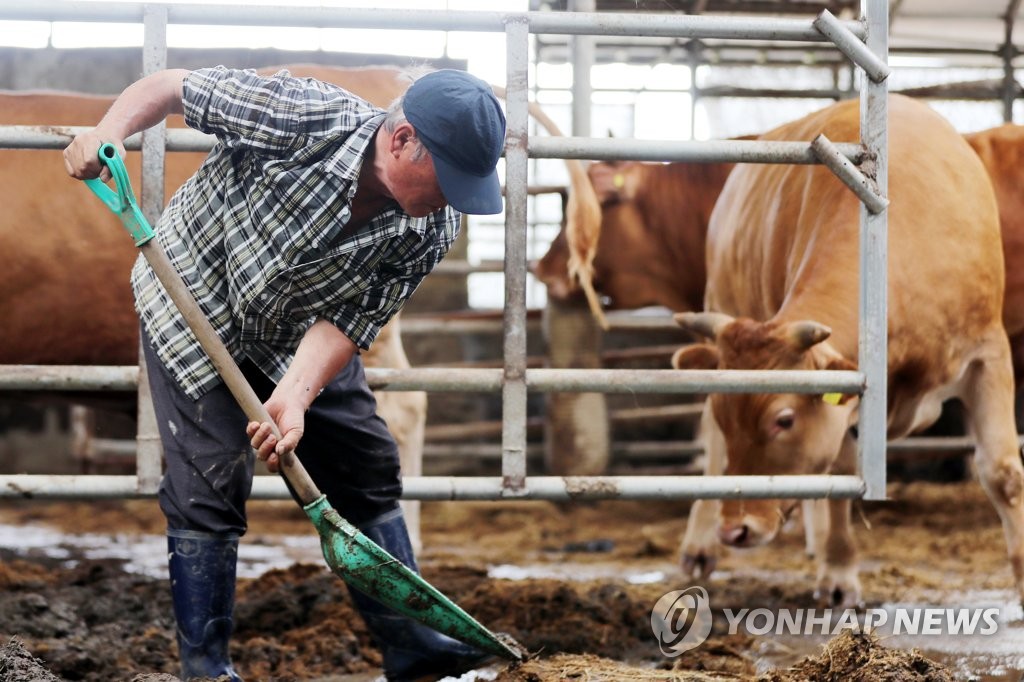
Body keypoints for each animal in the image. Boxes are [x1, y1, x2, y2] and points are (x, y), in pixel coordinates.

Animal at [671, 93, 1024, 602]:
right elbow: (835, 471)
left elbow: (1002, 473)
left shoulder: (987, 355)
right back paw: (703, 547)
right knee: (717, 452)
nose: (735, 529)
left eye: (783, 419)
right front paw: (839, 570)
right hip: (723, 300)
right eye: (727, 414)